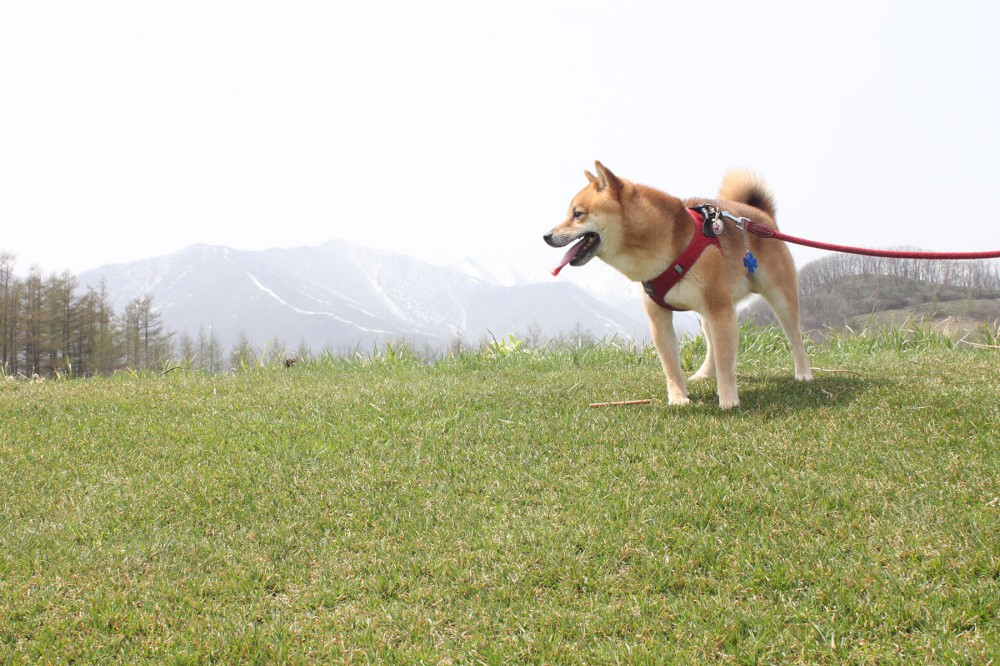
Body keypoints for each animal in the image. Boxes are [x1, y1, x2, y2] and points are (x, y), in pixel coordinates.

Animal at [540, 163, 812, 408]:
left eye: (577, 214)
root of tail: (761, 217)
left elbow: (726, 361)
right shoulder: (659, 316)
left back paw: (803, 373)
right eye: (570, 213)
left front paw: (728, 400)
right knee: (712, 346)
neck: (657, 246)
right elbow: (671, 364)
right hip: (707, 313)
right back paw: (704, 374)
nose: (546, 236)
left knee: (794, 338)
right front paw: (678, 398)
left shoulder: (719, 309)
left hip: (777, 296)